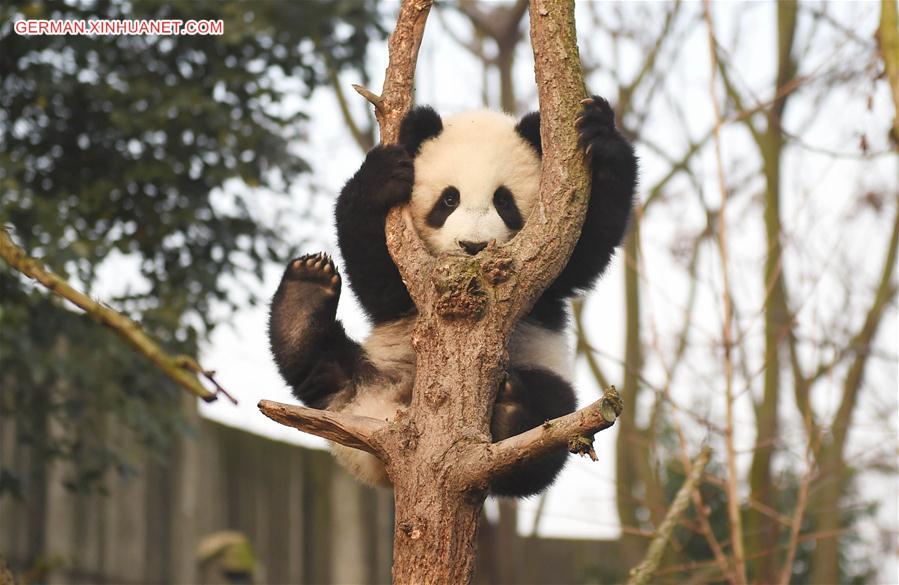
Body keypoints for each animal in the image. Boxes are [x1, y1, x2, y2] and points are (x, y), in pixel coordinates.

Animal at [268, 93, 640, 496]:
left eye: (504, 201)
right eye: (448, 200)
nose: (473, 246)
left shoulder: (546, 275)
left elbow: (587, 247)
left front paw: (600, 133)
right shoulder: (408, 282)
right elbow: (377, 280)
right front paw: (381, 177)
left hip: (542, 374)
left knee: (549, 425)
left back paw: (512, 414)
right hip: (369, 369)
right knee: (320, 369)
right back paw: (303, 299)